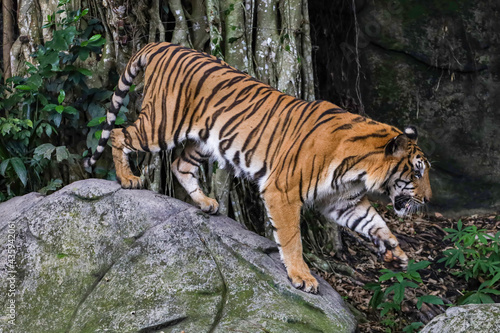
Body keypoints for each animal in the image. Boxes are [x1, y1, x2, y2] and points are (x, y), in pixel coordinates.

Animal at [84, 41, 432, 294]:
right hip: (161, 124)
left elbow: (374, 222)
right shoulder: (283, 191)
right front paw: (302, 277)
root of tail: (164, 44)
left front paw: (396, 252)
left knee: (178, 163)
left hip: (203, 141)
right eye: (417, 172)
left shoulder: (343, 200)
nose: (428, 199)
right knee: (119, 134)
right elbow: (292, 239)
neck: (357, 171)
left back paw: (206, 203)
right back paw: (128, 178)